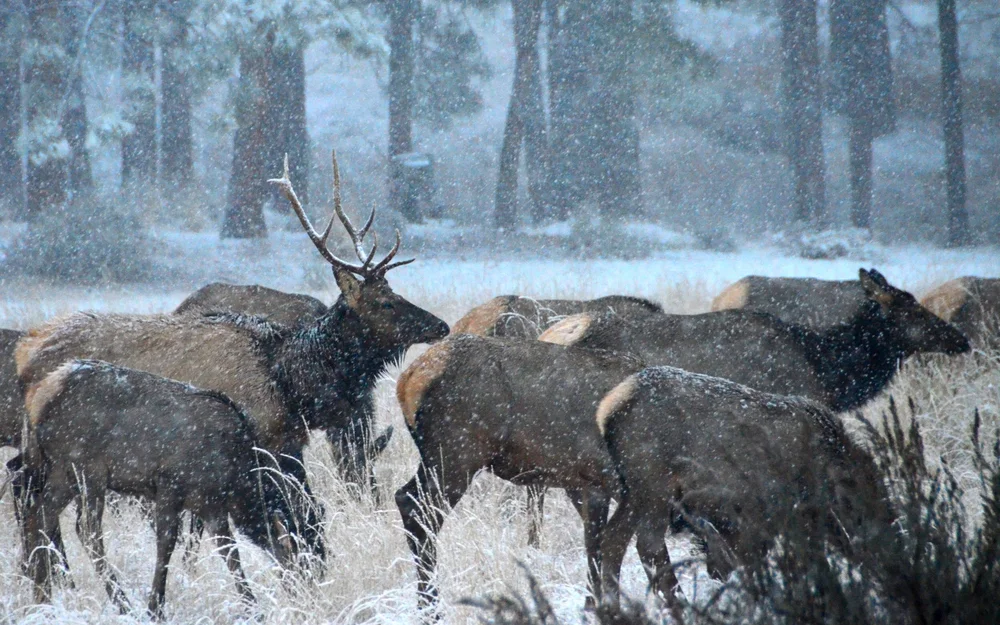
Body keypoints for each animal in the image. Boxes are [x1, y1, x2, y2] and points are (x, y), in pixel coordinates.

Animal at [20, 359, 298, 618]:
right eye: (292, 554)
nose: (300, 589)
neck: (237, 482)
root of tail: (40, 396)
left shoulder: (210, 506)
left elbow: (228, 551)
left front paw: (254, 608)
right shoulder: (170, 485)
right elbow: (167, 543)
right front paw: (155, 609)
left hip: (63, 471)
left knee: (40, 514)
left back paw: (41, 599)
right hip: (87, 469)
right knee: (87, 530)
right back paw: (123, 605)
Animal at [395, 334, 646, 613]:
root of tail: (408, 379)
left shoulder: (592, 484)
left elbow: (595, 541)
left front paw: (592, 605)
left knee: (406, 498)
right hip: (456, 455)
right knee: (419, 510)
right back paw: (431, 607)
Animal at [595, 366, 895, 614]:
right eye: (860, 509)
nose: (883, 559)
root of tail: (607, 411)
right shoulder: (766, 518)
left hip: (633, 491)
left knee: (612, 540)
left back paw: (613, 607)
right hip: (653, 486)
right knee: (646, 543)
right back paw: (680, 605)